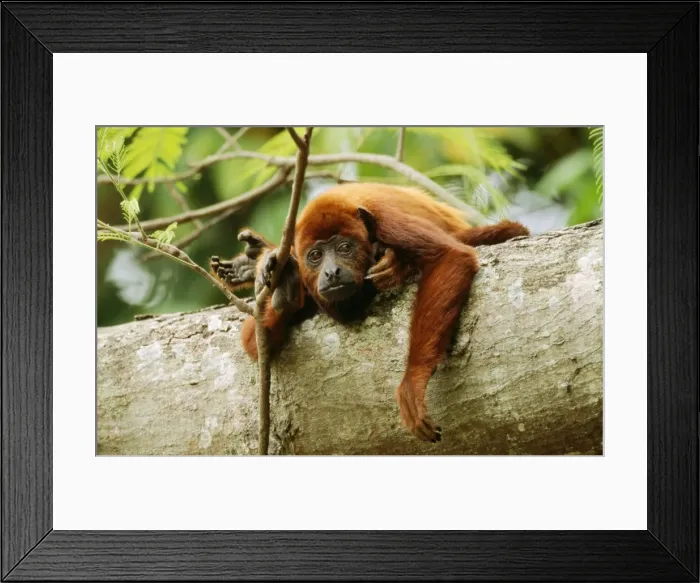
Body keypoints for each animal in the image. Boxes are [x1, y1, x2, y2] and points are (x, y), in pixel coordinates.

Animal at [210, 183, 529, 443]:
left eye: (344, 248)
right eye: (315, 256)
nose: (332, 272)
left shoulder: (387, 218)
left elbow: (451, 257)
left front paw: (413, 380)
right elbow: (253, 342)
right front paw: (284, 284)